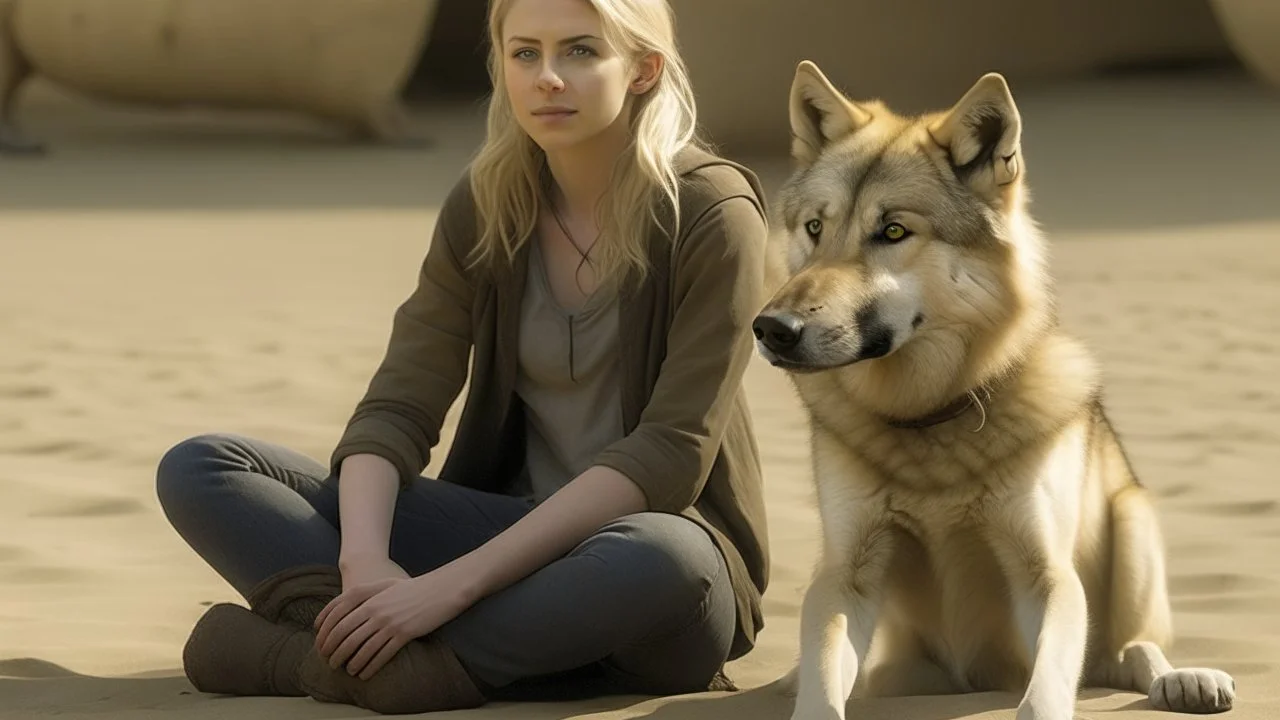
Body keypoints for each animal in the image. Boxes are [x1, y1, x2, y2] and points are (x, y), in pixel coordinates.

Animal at [752, 61, 1233, 717]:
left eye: (893, 230)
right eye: (814, 228)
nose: (772, 329)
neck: (932, 415)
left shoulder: (1047, 576)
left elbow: (1043, 694)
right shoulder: (844, 576)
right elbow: (822, 692)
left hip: (1132, 518)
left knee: (1133, 649)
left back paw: (1185, 680)